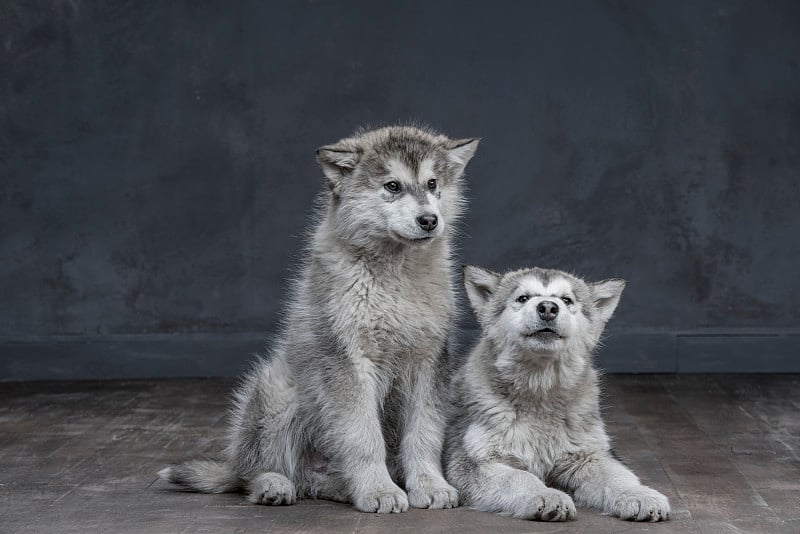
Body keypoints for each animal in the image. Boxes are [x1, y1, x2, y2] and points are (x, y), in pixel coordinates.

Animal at [159, 129, 478, 516]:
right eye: (392, 186)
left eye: (432, 183)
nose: (429, 220)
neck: (394, 274)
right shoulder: (349, 361)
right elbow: (363, 436)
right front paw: (378, 490)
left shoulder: (428, 362)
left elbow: (424, 434)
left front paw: (430, 485)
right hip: (277, 390)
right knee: (256, 471)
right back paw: (273, 485)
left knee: (308, 480)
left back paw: (339, 486)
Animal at [444, 266, 668, 524]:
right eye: (523, 298)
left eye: (566, 300)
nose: (548, 308)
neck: (541, 391)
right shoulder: (472, 461)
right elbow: (520, 477)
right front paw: (545, 495)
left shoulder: (588, 455)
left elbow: (619, 475)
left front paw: (640, 495)